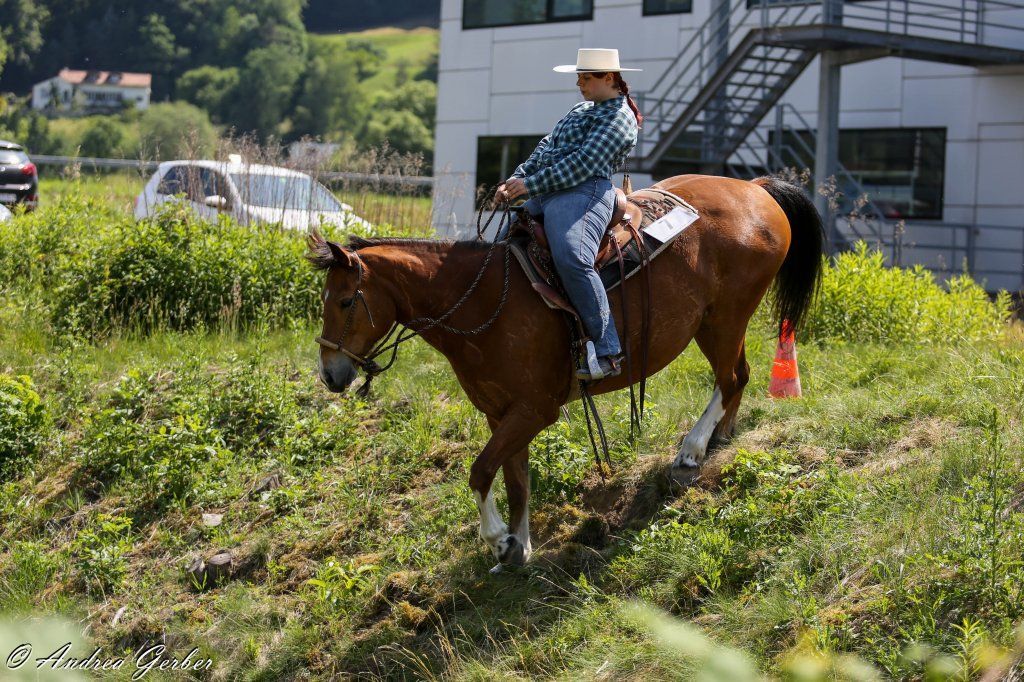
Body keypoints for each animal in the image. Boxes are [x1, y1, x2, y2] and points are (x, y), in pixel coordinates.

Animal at [306, 174, 824, 572]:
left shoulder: (536, 410)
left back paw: (692, 450)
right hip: (721, 322)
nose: (330, 374)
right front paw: (518, 547)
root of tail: (754, 189)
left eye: (347, 300)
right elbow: (515, 479)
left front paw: (497, 539)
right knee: (737, 375)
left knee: (731, 377)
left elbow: (480, 471)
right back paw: (722, 434)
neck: (485, 300)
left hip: (724, 317)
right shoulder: (502, 414)